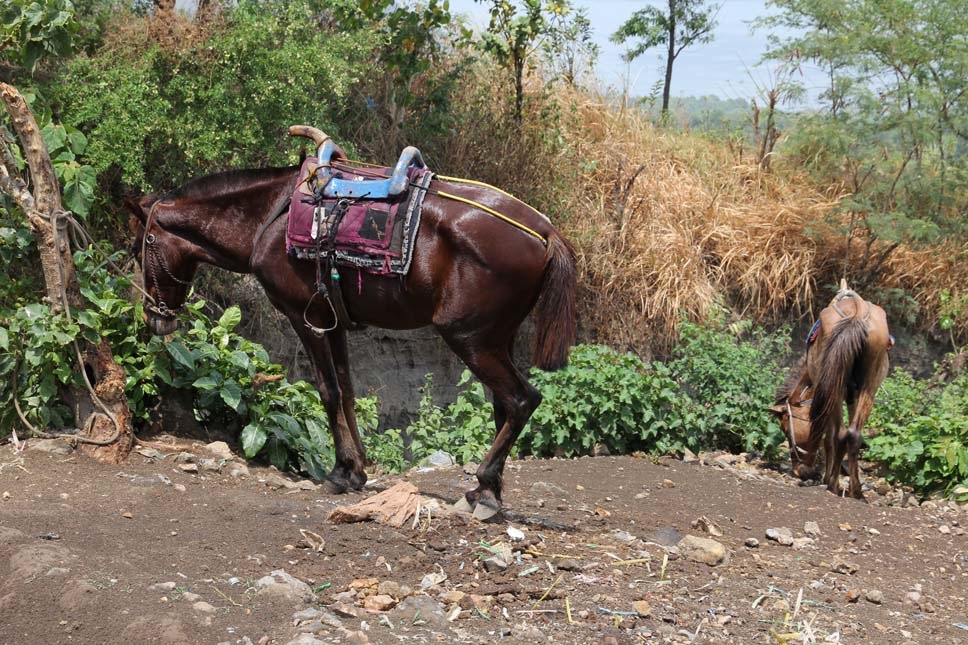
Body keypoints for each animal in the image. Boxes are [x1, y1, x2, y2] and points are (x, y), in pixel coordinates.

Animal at [127, 126, 576, 520]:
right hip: (497, 337)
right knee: (505, 404)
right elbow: (346, 391)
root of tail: (546, 232)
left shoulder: (305, 318)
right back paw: (489, 492)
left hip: (469, 337)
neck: (267, 219)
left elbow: (327, 390)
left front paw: (339, 473)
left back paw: (483, 489)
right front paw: (358, 468)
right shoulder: (335, 321)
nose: (153, 317)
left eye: (142, 245)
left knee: (522, 399)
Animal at [772, 282, 892, 498]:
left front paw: (828, 477)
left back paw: (833, 485)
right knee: (852, 434)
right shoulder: (852, 396)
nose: (799, 471)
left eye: (785, 429)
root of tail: (856, 315)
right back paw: (856, 492)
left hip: (836, 390)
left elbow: (828, 438)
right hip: (868, 388)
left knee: (840, 434)